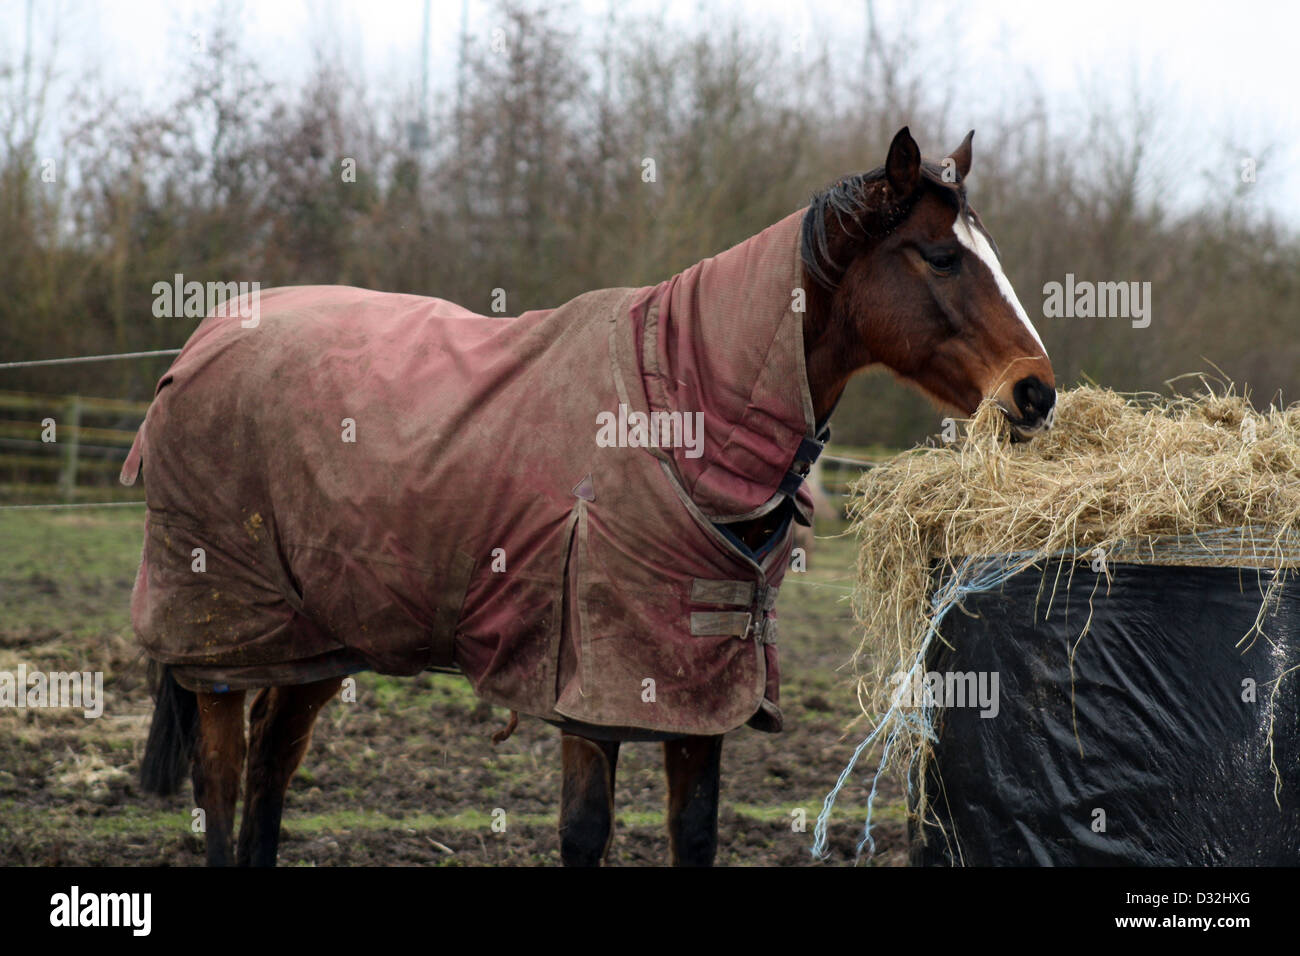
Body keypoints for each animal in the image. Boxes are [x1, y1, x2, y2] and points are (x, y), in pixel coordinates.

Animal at [131, 127, 1050, 868]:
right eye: (940, 256)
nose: (1036, 394)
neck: (677, 408)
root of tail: (203, 340)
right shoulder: (592, 695)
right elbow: (584, 833)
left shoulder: (700, 694)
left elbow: (695, 833)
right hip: (223, 642)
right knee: (222, 786)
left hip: (318, 638)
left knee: (270, 771)